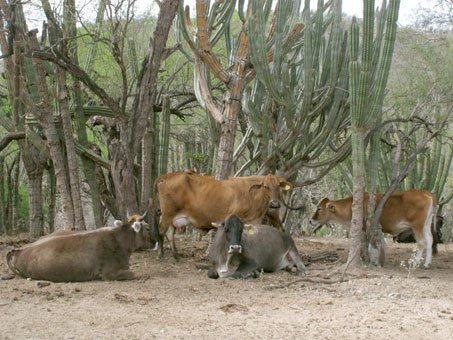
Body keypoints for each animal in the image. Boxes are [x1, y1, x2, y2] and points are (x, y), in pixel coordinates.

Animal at [151, 171, 294, 258]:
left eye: (279, 185)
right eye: (265, 186)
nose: (274, 203)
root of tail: (171, 175)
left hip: (174, 217)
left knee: (170, 233)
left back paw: (176, 256)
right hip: (167, 214)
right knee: (162, 231)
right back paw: (160, 255)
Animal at [308, 190, 436, 266]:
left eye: (319, 208)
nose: (310, 220)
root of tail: (427, 193)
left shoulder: (366, 227)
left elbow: (368, 244)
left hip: (417, 225)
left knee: (422, 242)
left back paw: (415, 263)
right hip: (426, 225)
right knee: (430, 240)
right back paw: (427, 264)